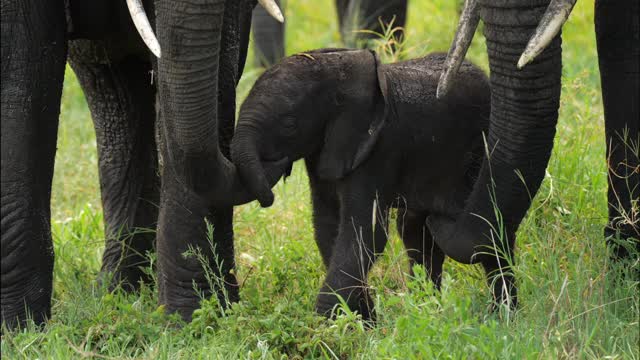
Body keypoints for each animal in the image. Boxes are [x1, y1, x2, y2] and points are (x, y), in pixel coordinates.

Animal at [0, 0, 284, 330]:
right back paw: (117, 291)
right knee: (114, 87)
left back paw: (120, 291)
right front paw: (20, 329)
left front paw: (197, 319)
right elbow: (16, 74)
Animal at [232, 48, 488, 320]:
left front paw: (330, 323)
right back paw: (428, 309)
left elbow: (365, 231)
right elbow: (328, 226)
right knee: (414, 230)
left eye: (289, 125)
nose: (269, 198)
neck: (339, 75)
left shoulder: (379, 148)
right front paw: (361, 319)